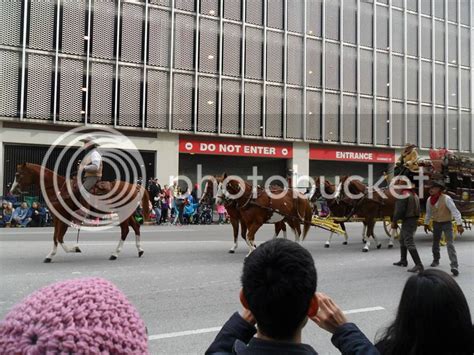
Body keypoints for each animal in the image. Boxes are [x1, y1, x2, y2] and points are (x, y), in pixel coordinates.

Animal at [10, 163, 150, 262]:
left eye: (18, 174)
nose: (12, 191)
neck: (58, 189)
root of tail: (134, 186)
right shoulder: (57, 218)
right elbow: (56, 237)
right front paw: (51, 255)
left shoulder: (63, 217)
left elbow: (59, 237)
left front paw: (73, 249)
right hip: (127, 213)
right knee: (136, 227)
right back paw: (140, 250)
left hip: (122, 213)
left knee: (125, 230)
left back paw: (115, 254)